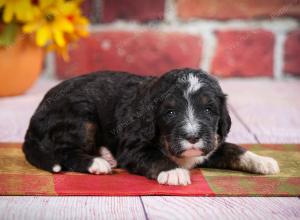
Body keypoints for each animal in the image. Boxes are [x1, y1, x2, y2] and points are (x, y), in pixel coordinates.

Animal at [22, 69, 278, 186]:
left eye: (208, 110)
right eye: (170, 113)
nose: (192, 137)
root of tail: (35, 115)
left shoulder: (211, 142)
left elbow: (233, 148)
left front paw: (263, 161)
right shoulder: (133, 147)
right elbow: (153, 156)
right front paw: (174, 171)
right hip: (81, 116)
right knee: (64, 151)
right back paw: (98, 162)